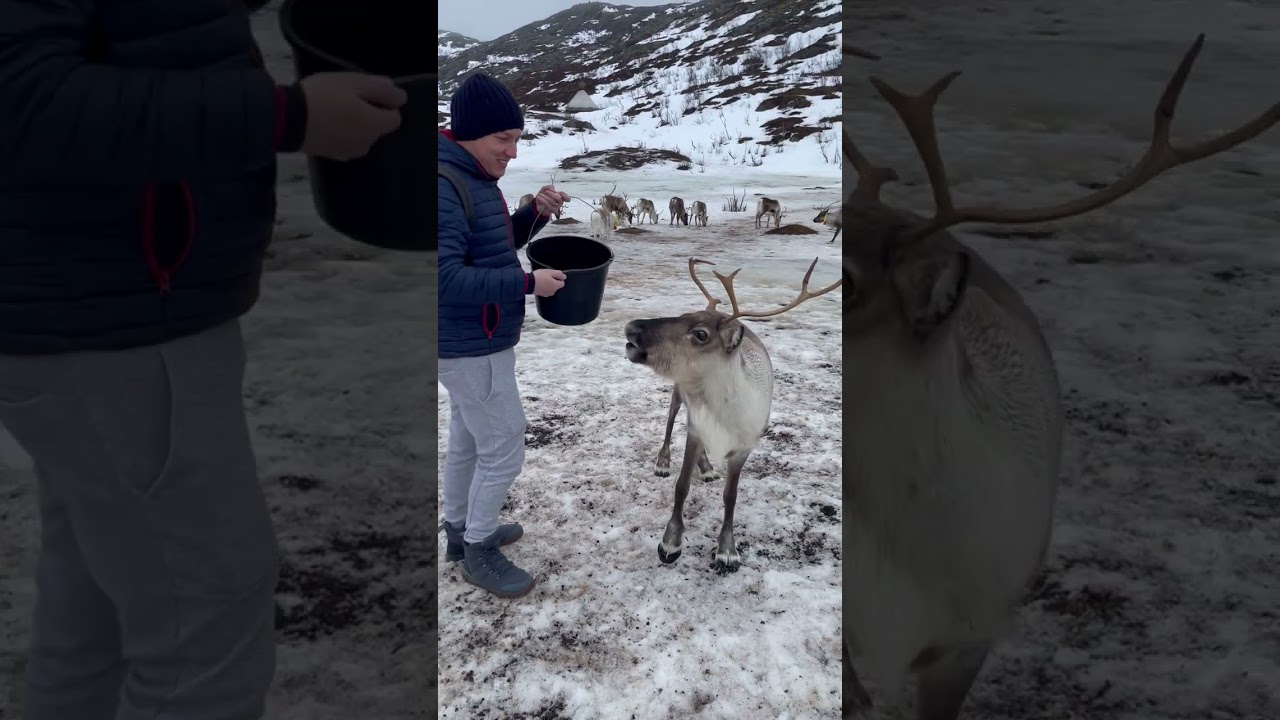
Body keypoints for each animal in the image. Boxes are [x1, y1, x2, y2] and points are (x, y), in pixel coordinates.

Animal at [625, 257, 841, 574]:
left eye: (701, 334)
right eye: (683, 315)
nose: (631, 328)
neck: (722, 415)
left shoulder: (743, 447)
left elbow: (731, 496)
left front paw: (727, 551)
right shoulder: (696, 430)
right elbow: (681, 486)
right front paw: (670, 542)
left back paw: (707, 468)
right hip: (678, 391)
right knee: (670, 418)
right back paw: (664, 461)